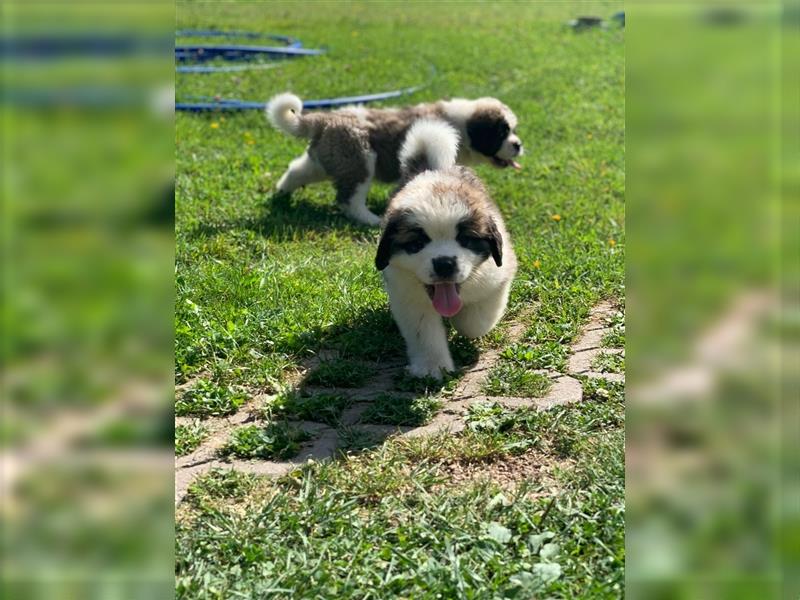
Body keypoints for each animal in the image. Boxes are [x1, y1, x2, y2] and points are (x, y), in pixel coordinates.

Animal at [266, 94, 520, 225]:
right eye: (502, 132)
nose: (518, 145)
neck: (463, 126)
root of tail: (324, 119)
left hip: (326, 160)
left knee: (296, 169)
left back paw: (282, 195)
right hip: (360, 159)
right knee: (349, 199)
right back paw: (371, 219)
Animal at [376, 119, 520, 378]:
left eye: (466, 240)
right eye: (416, 245)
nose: (444, 263)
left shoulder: (497, 278)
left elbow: (474, 323)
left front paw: (460, 321)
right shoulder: (408, 296)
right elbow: (423, 333)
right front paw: (431, 368)